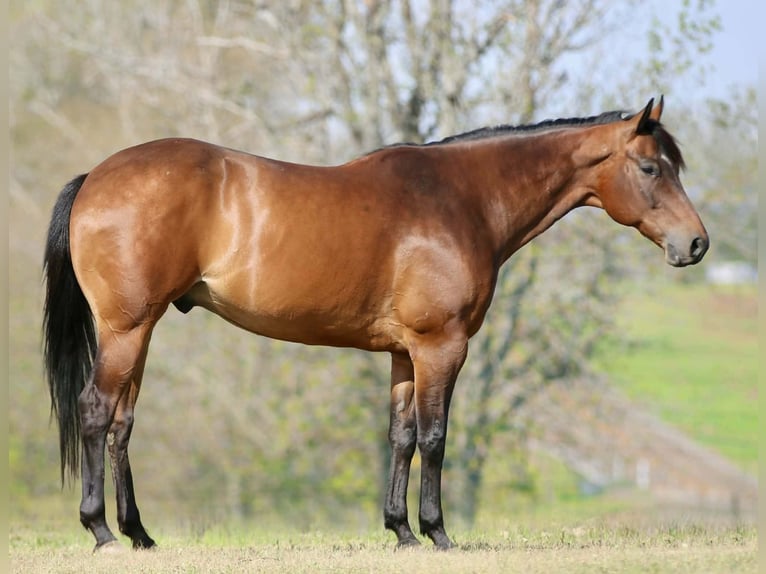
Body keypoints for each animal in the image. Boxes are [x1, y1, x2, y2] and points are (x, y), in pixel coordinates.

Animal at [43, 96, 708, 551]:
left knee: (123, 423)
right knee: (97, 411)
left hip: (138, 332)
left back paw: (140, 534)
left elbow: (401, 435)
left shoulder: (403, 353)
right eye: (652, 168)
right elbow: (435, 437)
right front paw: (438, 533)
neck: (460, 198)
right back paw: (101, 531)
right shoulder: (443, 346)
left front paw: (401, 531)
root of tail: (94, 178)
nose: (696, 244)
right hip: (127, 329)